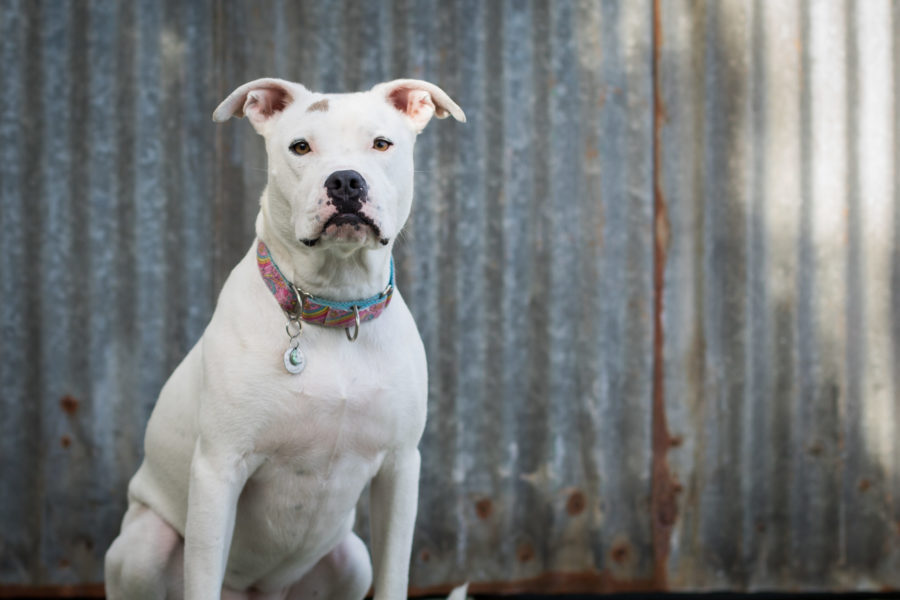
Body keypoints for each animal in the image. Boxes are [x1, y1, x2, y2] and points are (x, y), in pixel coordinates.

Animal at [107, 79, 464, 600]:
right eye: (300, 147)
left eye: (381, 144)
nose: (345, 181)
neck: (336, 312)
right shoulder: (218, 469)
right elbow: (202, 576)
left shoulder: (400, 471)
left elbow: (394, 575)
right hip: (144, 544)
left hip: (351, 559)